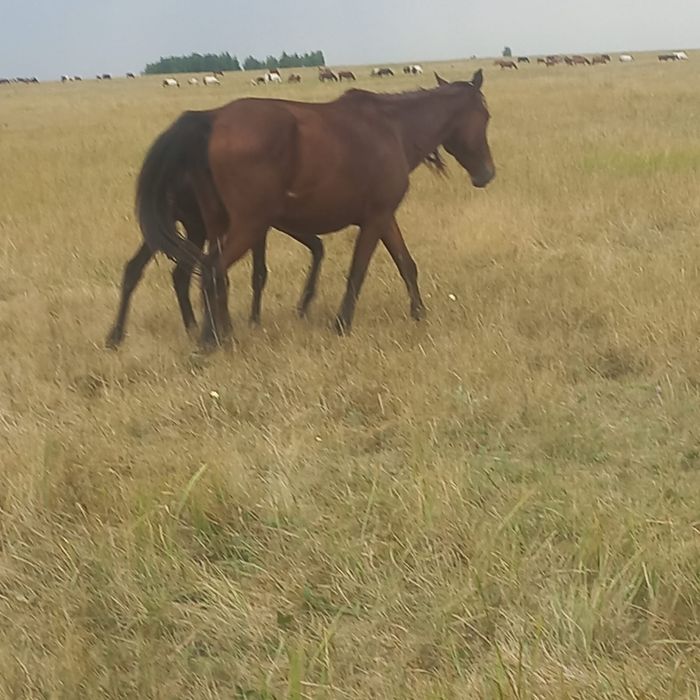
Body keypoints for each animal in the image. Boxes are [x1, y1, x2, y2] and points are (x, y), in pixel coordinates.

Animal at [106, 70, 494, 349]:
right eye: (486, 116)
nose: (487, 173)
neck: (393, 129)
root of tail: (211, 120)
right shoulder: (375, 218)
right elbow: (358, 272)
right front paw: (342, 323)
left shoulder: (385, 217)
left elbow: (406, 264)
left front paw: (418, 313)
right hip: (246, 226)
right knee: (212, 269)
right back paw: (208, 340)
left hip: (214, 226)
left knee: (203, 273)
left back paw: (215, 331)